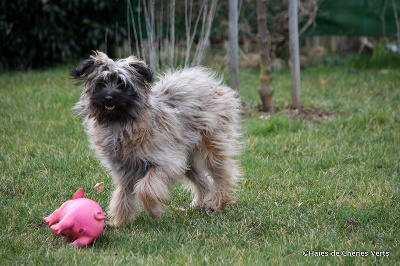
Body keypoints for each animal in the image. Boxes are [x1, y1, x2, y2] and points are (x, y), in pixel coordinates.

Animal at [70, 52, 242, 227]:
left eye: (122, 84)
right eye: (101, 83)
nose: (108, 98)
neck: (122, 124)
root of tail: (210, 82)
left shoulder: (165, 162)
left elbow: (145, 188)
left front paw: (153, 210)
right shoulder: (125, 170)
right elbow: (123, 194)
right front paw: (120, 222)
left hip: (211, 145)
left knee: (222, 174)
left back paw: (217, 201)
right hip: (188, 158)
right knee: (203, 180)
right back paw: (202, 203)